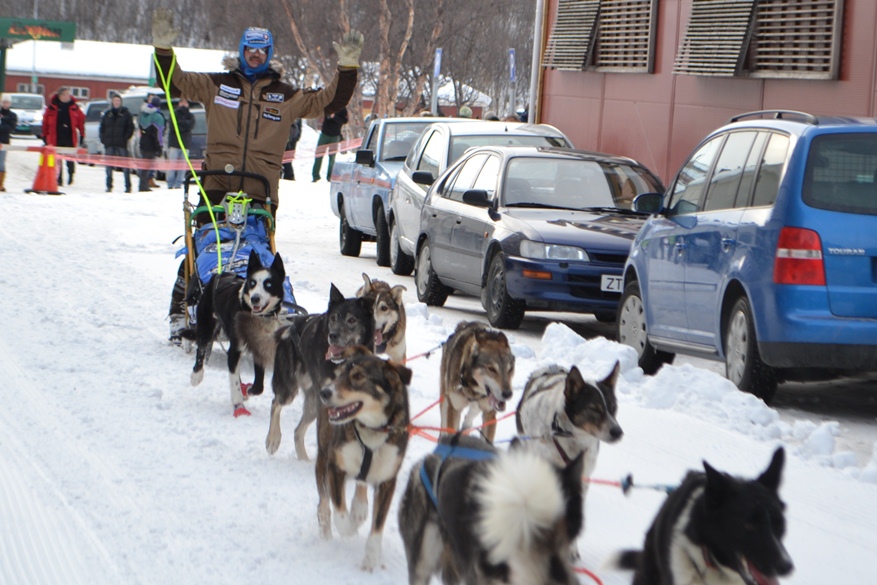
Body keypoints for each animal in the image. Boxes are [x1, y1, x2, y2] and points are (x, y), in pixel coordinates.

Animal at [190, 249, 286, 417]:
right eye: (252, 283)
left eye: (268, 284)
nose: (255, 298)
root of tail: (218, 274)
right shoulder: (235, 348)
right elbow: (233, 380)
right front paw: (238, 405)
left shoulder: (259, 347)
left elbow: (259, 386)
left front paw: (248, 390)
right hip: (206, 324)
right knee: (201, 347)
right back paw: (197, 375)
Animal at [267, 283, 374, 460]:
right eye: (334, 318)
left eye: (351, 320)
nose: (333, 335)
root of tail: (289, 328)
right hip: (289, 390)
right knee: (276, 403)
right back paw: (272, 440)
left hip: (312, 404)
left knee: (297, 431)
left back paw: (303, 460)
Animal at [315, 347, 411, 572]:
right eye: (340, 374)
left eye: (358, 376)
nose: (324, 392)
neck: (372, 429)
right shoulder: (335, 467)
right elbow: (340, 512)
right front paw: (349, 527)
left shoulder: (387, 481)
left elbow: (378, 526)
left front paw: (371, 558)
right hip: (322, 461)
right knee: (323, 503)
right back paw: (327, 529)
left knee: (361, 482)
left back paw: (359, 507)